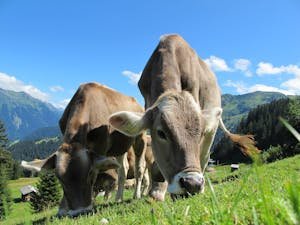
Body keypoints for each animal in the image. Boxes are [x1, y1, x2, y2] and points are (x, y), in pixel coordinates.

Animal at [20, 82, 147, 216]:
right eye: (59, 179)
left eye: (89, 174)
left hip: (140, 137)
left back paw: (136, 195)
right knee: (123, 168)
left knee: (140, 167)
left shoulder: (101, 147)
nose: (79, 211)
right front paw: (63, 208)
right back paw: (118, 198)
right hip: (120, 146)